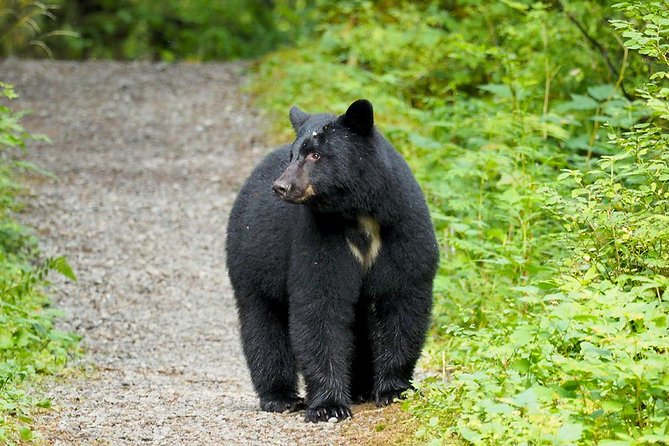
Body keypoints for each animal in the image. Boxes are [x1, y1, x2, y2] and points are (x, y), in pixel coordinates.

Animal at [227, 99, 440, 424]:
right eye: (293, 155)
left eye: (316, 154)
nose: (281, 186)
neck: (359, 214)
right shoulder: (320, 235)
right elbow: (320, 305)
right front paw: (328, 406)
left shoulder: (402, 228)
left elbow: (402, 300)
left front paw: (394, 390)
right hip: (251, 260)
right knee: (262, 323)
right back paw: (281, 396)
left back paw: (362, 388)